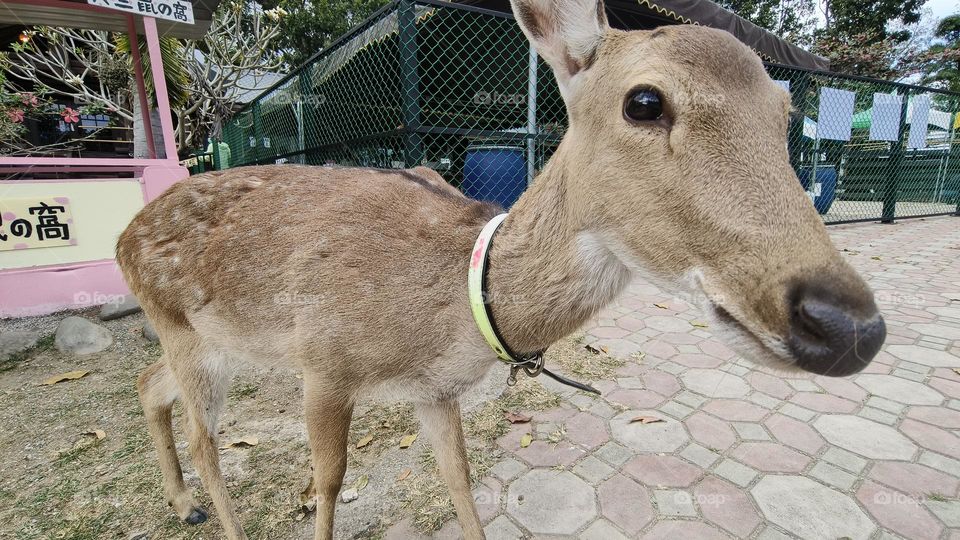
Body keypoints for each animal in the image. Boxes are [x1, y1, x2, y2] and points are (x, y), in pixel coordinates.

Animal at [116, 0, 887, 537]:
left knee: (149, 384)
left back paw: (182, 505)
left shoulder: (435, 391)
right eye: (644, 101)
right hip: (185, 328)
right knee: (203, 435)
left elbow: (458, 481)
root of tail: (124, 236)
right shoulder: (323, 363)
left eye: (784, 112)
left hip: (215, 344)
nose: (850, 326)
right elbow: (329, 485)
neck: (456, 310)